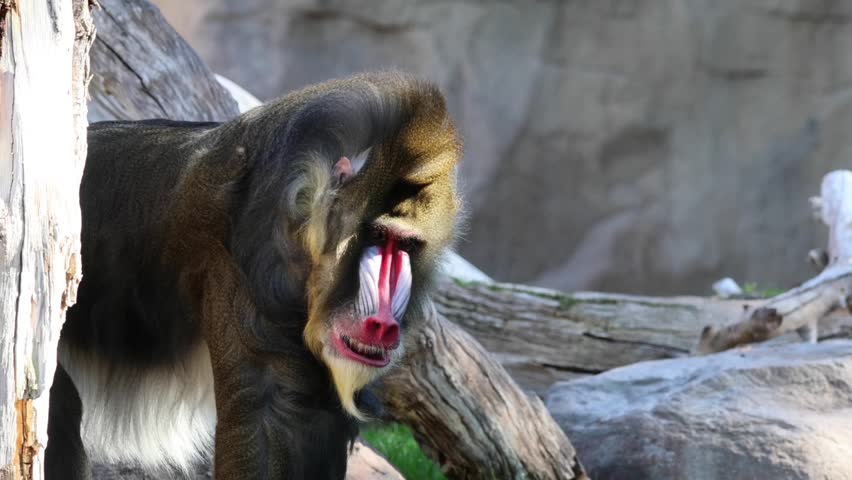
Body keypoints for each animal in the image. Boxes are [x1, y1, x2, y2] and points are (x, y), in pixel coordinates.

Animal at [44, 71, 461, 480]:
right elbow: (268, 416)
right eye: (376, 236)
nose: (383, 325)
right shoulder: (253, 264)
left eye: (405, 246)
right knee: (59, 411)